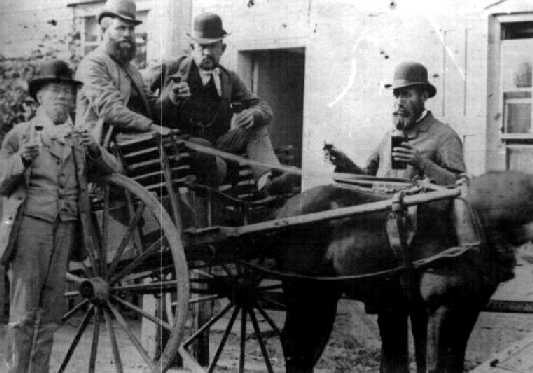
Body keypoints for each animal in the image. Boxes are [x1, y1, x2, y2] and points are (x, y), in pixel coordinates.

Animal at [272, 170, 528, 370]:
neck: (472, 219)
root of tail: (284, 212)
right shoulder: (442, 307)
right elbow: (437, 364)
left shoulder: (465, 308)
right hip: (306, 293)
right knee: (295, 345)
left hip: (323, 296)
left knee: (307, 346)